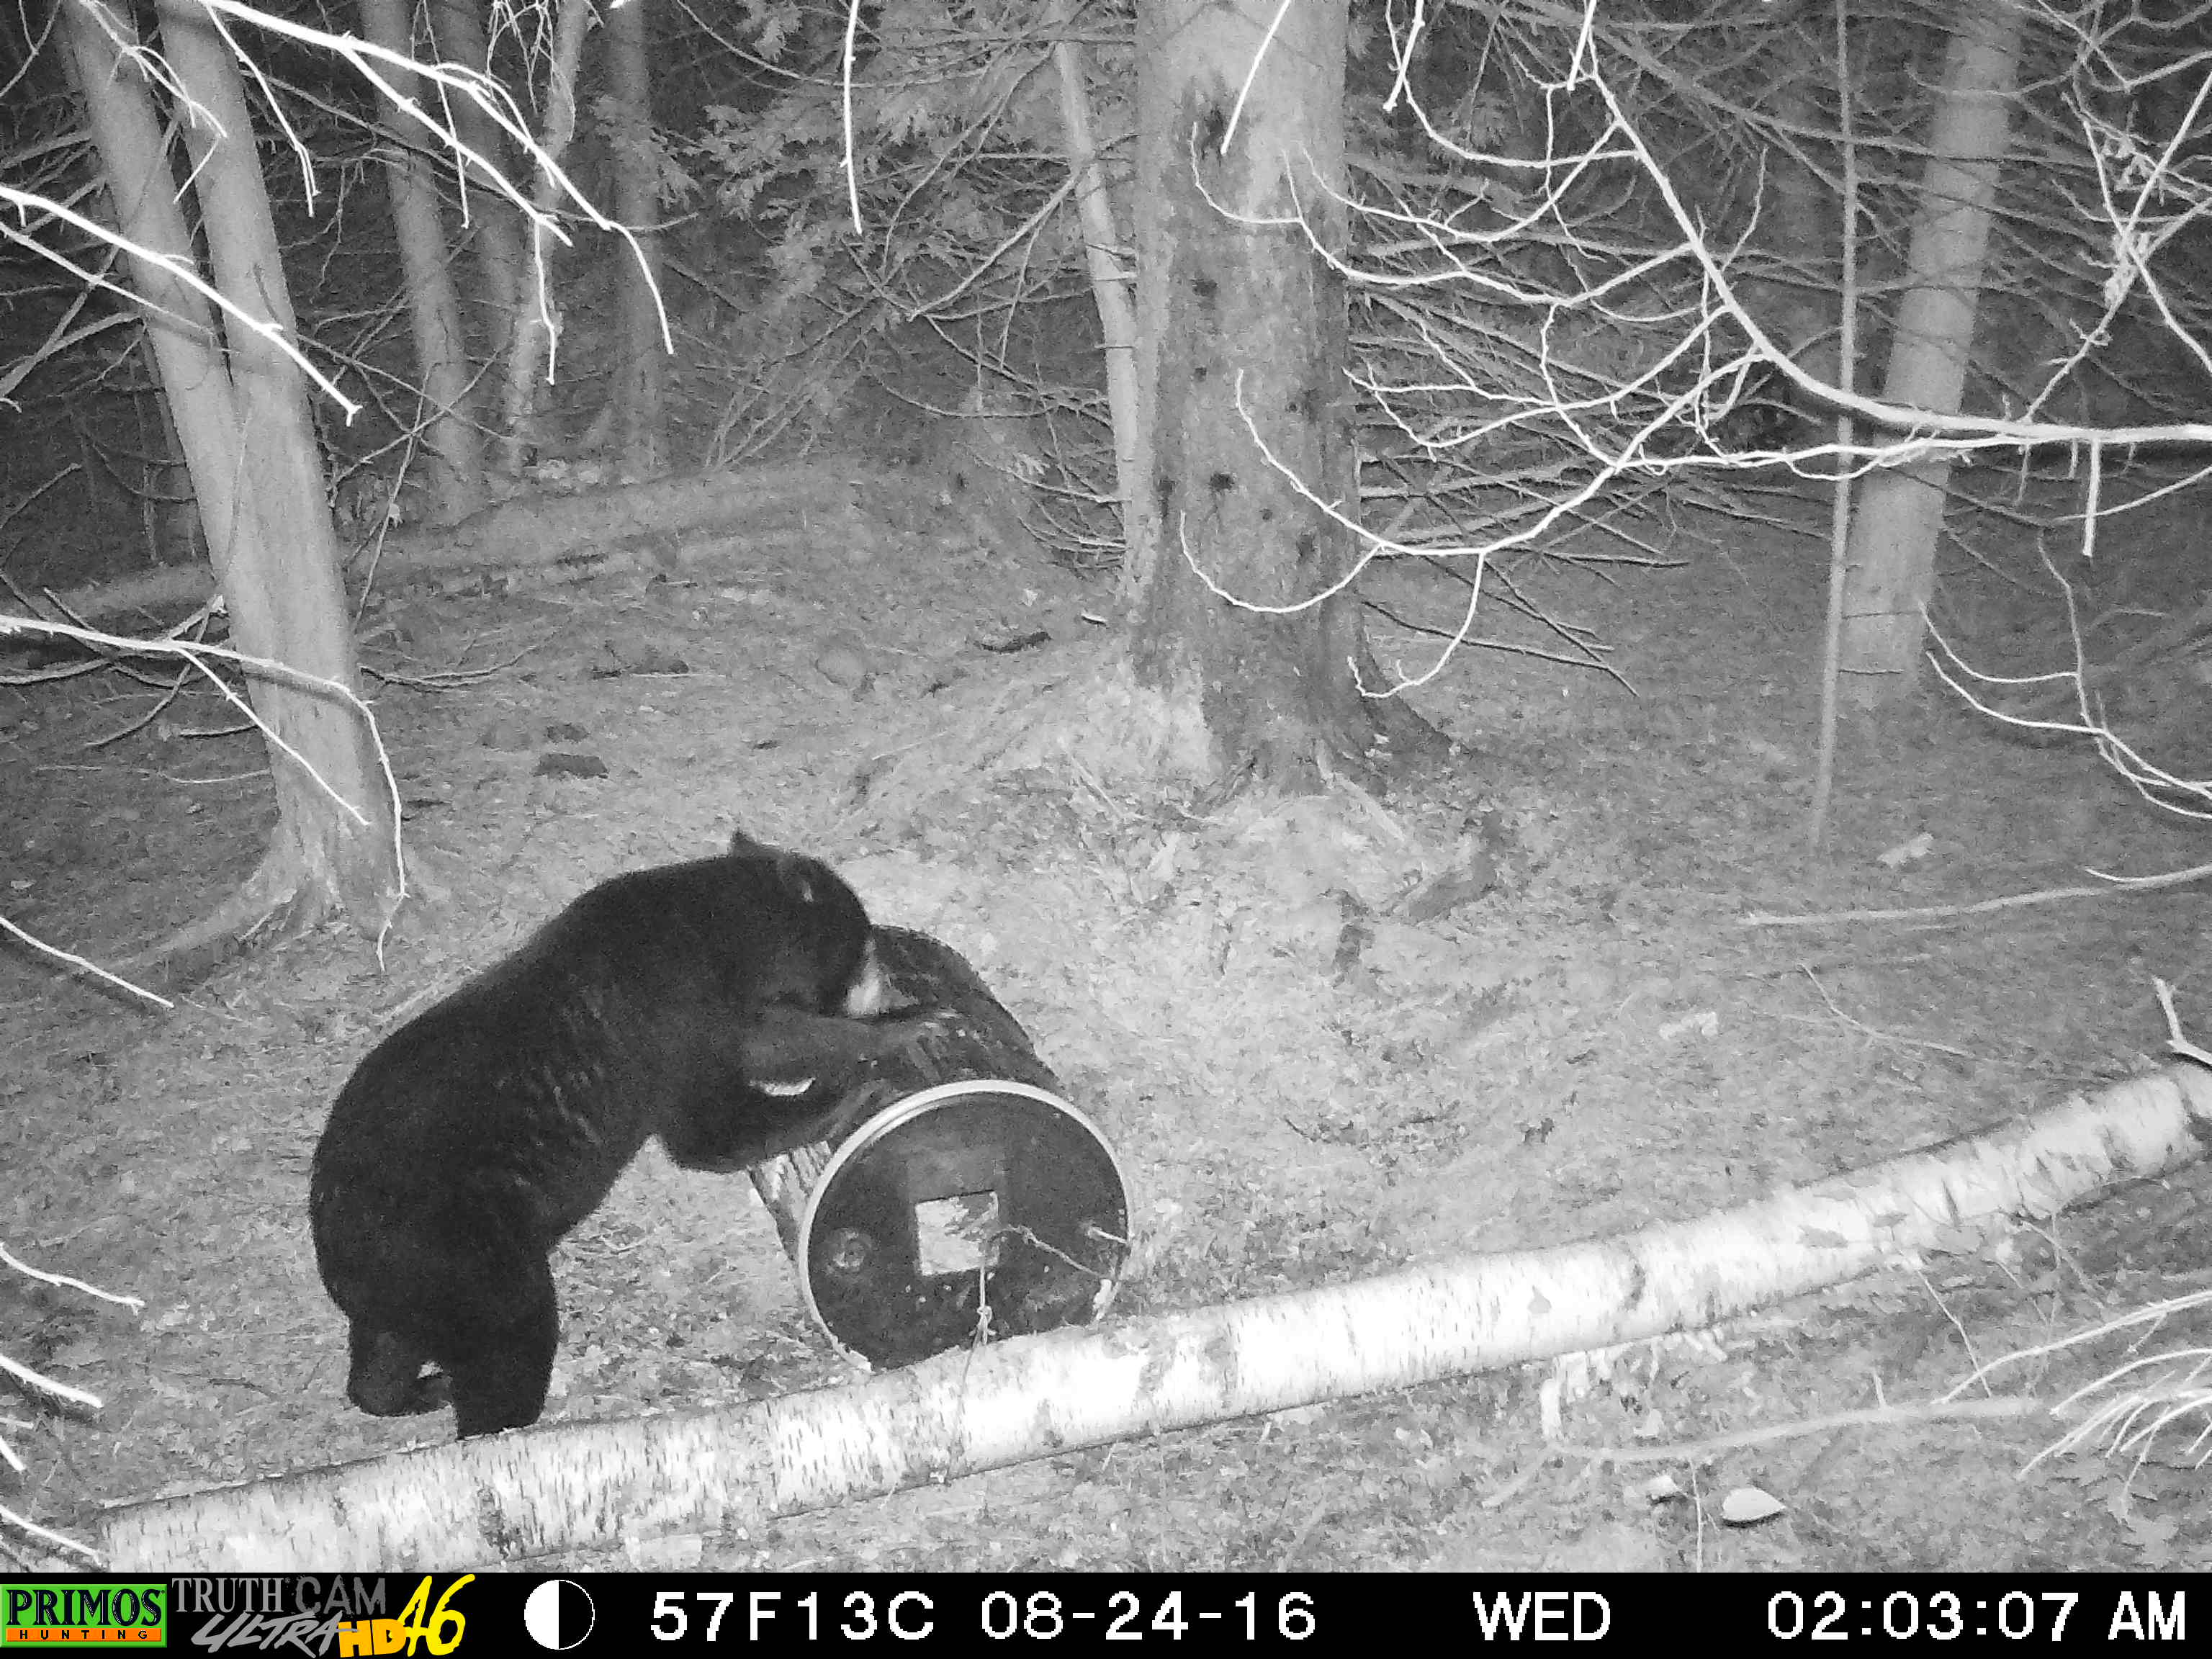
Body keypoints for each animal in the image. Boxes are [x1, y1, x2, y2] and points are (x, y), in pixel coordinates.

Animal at [308, 829, 933, 1438]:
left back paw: (420, 1389)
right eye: (863, 942)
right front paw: (882, 1051)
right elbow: (717, 1120)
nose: (883, 978)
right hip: (465, 1258)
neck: (717, 930)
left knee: (383, 1359)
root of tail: (336, 1238)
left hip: (404, 1294)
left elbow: (762, 1049)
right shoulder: (675, 1019)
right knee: (508, 1344)